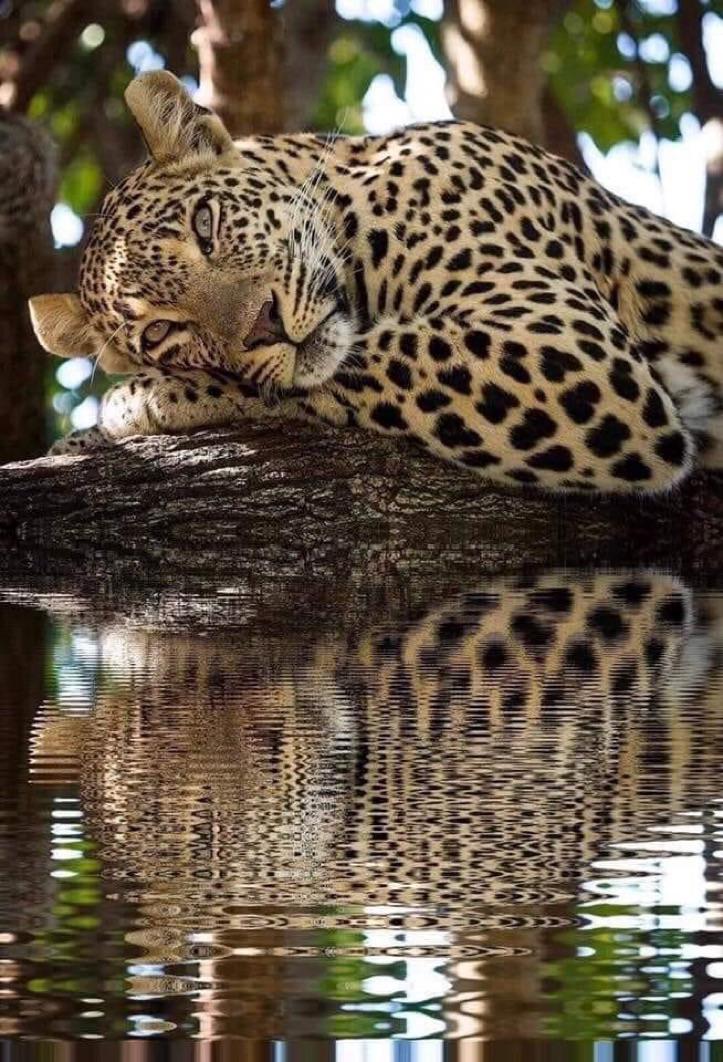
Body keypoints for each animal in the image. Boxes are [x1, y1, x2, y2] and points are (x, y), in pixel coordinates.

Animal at [26, 70, 721, 492]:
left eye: (206, 223)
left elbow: (379, 356)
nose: (264, 326)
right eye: (162, 332)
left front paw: (142, 400)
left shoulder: (571, 347)